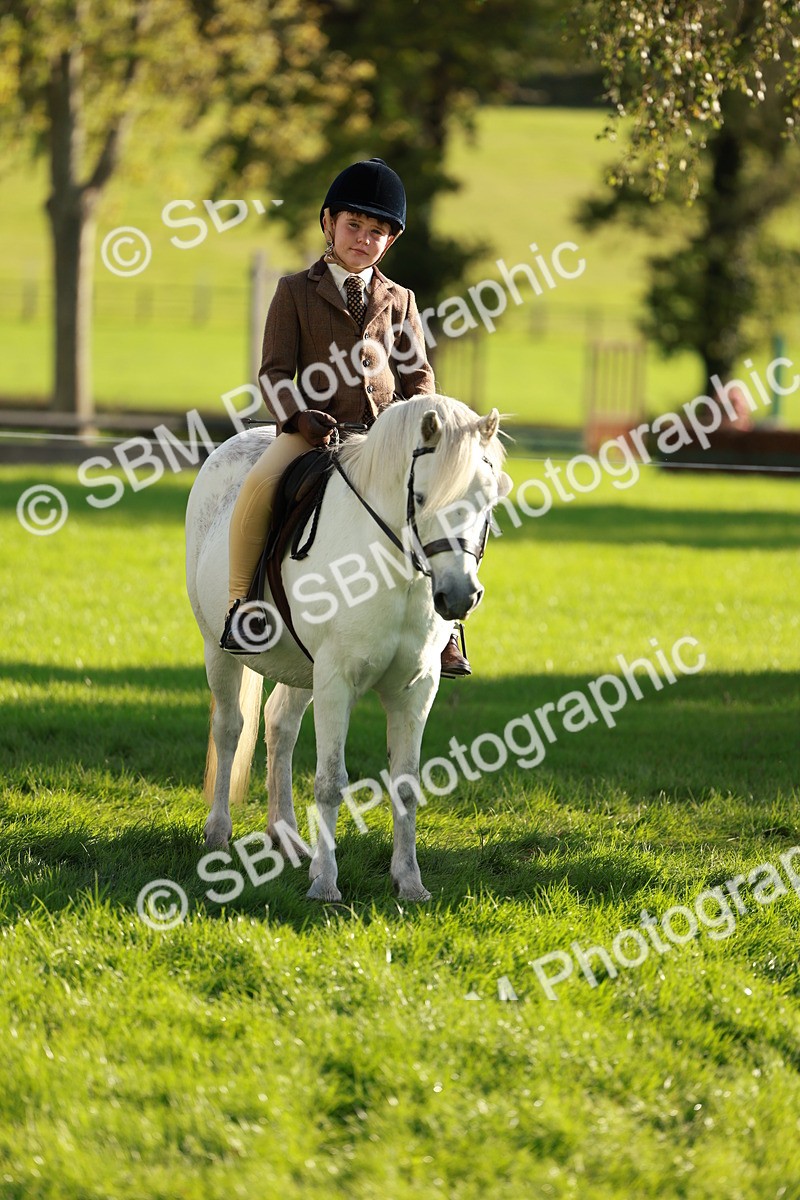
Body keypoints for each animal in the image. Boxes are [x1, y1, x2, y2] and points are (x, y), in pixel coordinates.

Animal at [185, 394, 509, 902]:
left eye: (486, 498)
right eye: (421, 498)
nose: (458, 596)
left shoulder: (416, 688)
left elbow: (406, 783)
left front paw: (410, 882)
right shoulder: (337, 679)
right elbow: (330, 781)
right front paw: (325, 883)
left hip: (302, 668)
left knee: (280, 727)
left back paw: (286, 836)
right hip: (220, 651)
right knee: (230, 728)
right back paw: (219, 832)